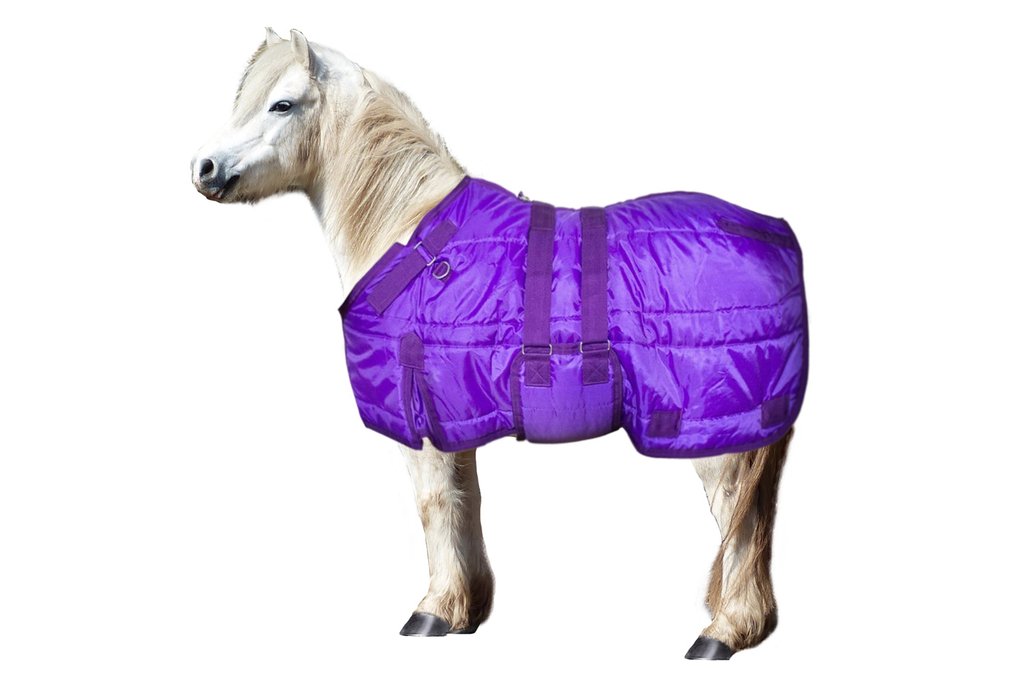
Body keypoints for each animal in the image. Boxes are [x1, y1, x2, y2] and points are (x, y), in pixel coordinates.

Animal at [190, 28, 799, 660]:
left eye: (281, 105)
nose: (203, 168)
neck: (412, 236)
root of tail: (772, 234)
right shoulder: (454, 421)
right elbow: (466, 504)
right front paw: (466, 610)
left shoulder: (421, 426)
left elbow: (435, 507)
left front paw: (433, 610)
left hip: (720, 440)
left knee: (738, 524)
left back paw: (723, 631)